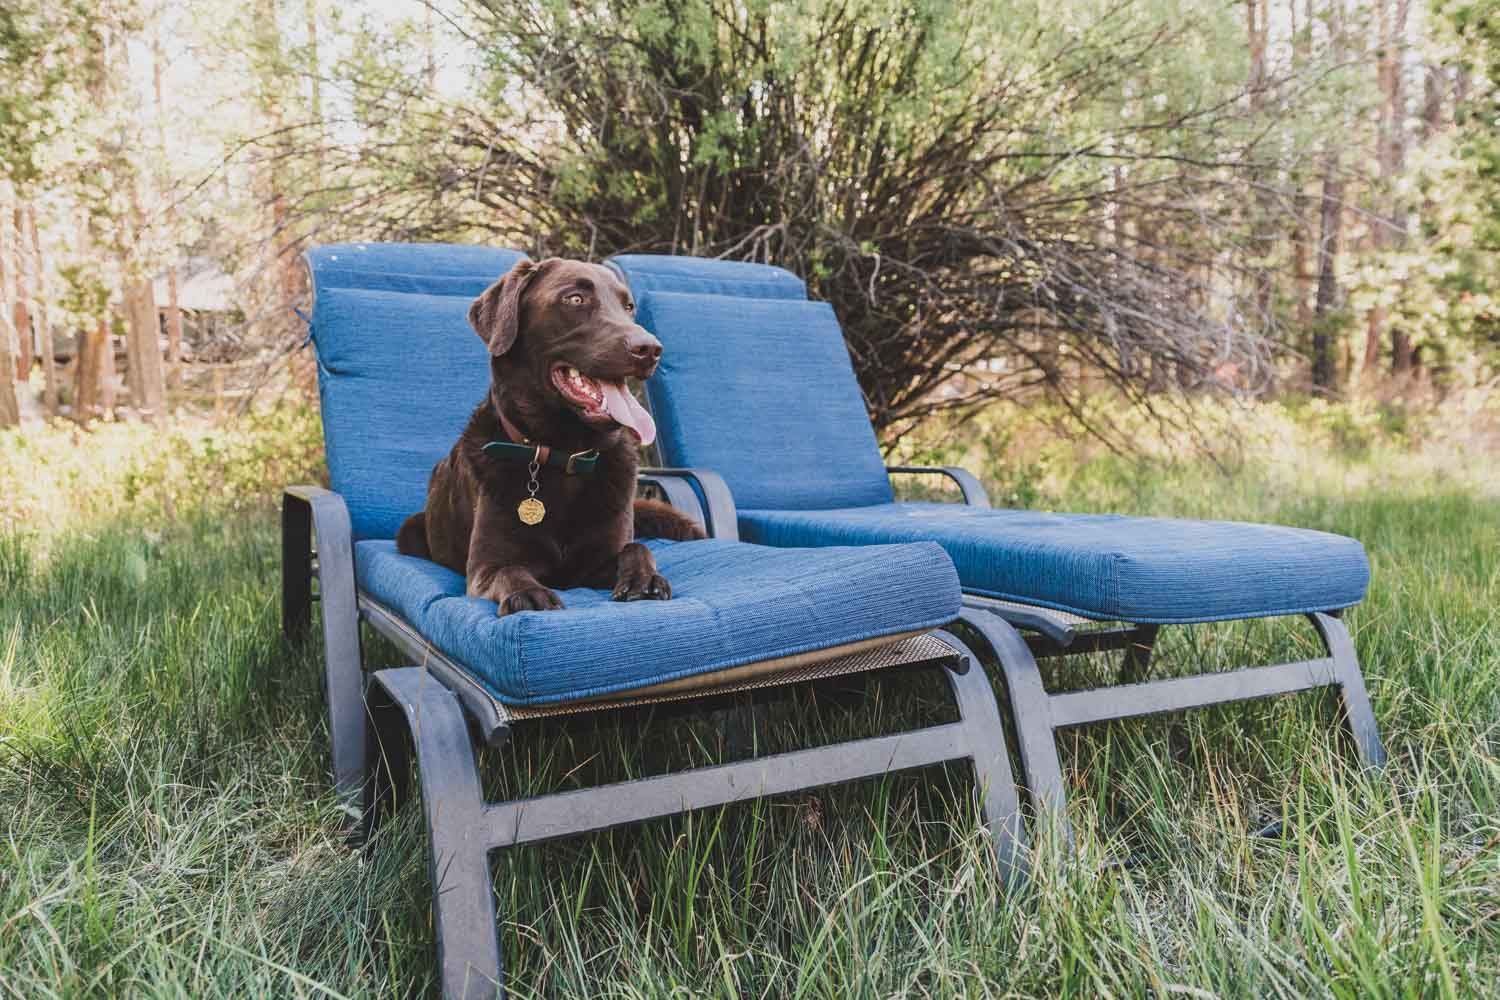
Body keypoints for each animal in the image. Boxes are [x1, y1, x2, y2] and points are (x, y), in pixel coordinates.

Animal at [396, 257, 705, 614]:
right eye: (575, 299)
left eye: (629, 307)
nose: (651, 348)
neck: (565, 453)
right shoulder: (483, 569)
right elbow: (509, 569)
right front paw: (529, 593)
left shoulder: (597, 562)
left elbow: (637, 549)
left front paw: (646, 578)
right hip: (411, 531)